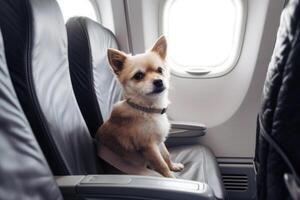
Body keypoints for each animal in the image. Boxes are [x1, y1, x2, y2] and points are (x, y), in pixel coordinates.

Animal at [97, 35, 184, 177]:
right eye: (138, 76)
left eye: (160, 70)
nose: (159, 81)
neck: (148, 110)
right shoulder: (149, 147)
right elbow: (162, 165)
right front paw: (171, 178)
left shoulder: (159, 141)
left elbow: (166, 156)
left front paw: (173, 166)